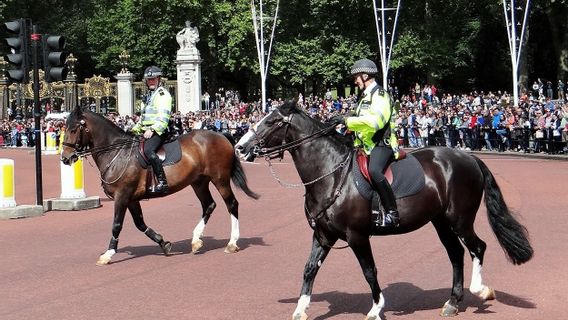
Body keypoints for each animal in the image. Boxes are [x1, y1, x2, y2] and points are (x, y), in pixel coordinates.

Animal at [60, 107, 260, 264]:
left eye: (73, 129)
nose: (65, 158)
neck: (117, 153)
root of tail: (221, 135)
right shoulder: (131, 199)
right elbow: (140, 223)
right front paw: (163, 243)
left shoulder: (122, 195)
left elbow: (117, 224)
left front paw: (108, 253)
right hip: (198, 182)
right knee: (209, 205)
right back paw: (196, 240)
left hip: (220, 179)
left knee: (231, 204)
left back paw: (232, 243)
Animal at [234, 100, 532, 320]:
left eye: (271, 121)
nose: (239, 147)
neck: (331, 174)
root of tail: (469, 157)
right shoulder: (323, 235)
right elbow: (309, 269)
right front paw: (300, 309)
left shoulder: (356, 236)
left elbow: (369, 271)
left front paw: (376, 308)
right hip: (440, 222)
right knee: (456, 253)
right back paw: (452, 302)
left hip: (460, 219)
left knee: (477, 247)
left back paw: (480, 290)